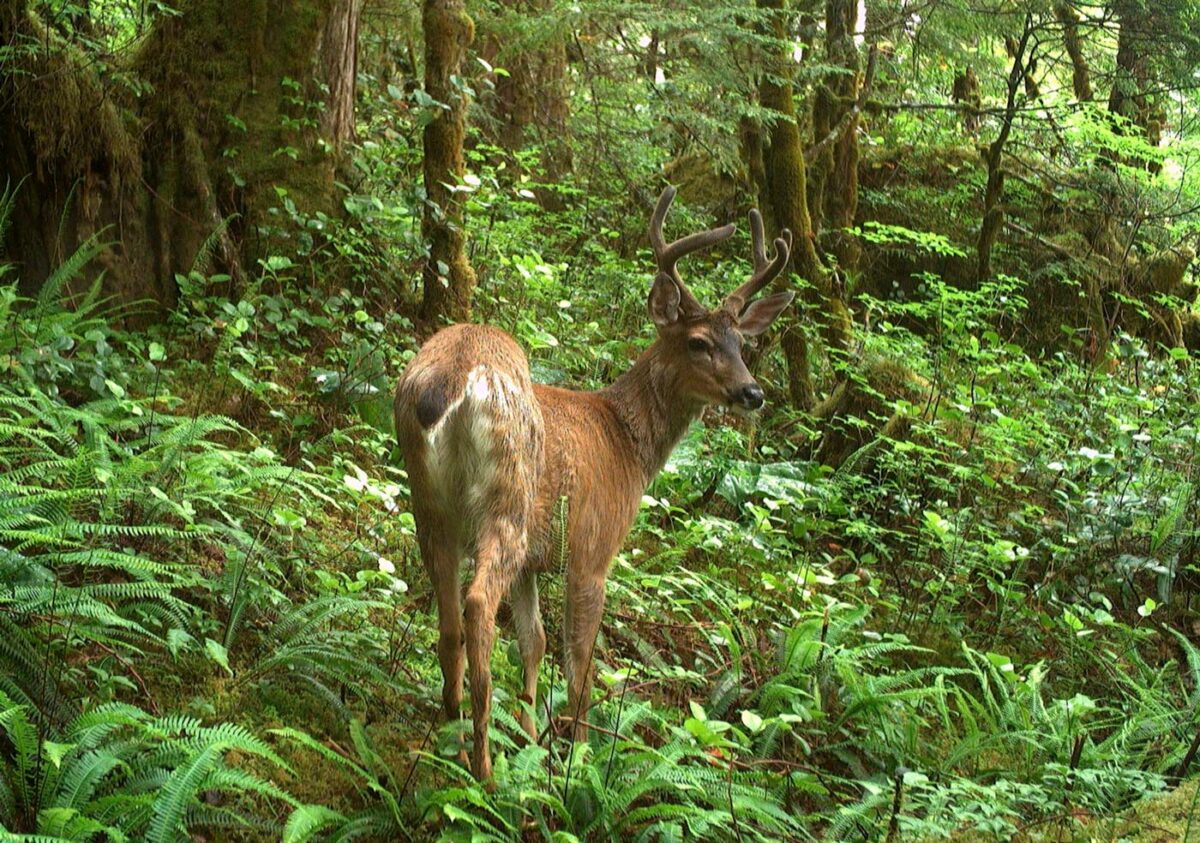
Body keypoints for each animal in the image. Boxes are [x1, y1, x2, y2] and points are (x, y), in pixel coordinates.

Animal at [394, 186, 794, 781]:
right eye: (699, 342)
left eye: (740, 343)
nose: (753, 393)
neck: (625, 441)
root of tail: (456, 377)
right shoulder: (591, 548)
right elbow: (579, 662)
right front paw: (577, 760)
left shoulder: (536, 560)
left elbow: (533, 642)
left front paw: (532, 738)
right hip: (507, 500)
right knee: (477, 606)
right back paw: (485, 769)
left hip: (429, 504)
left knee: (448, 624)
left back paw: (454, 745)